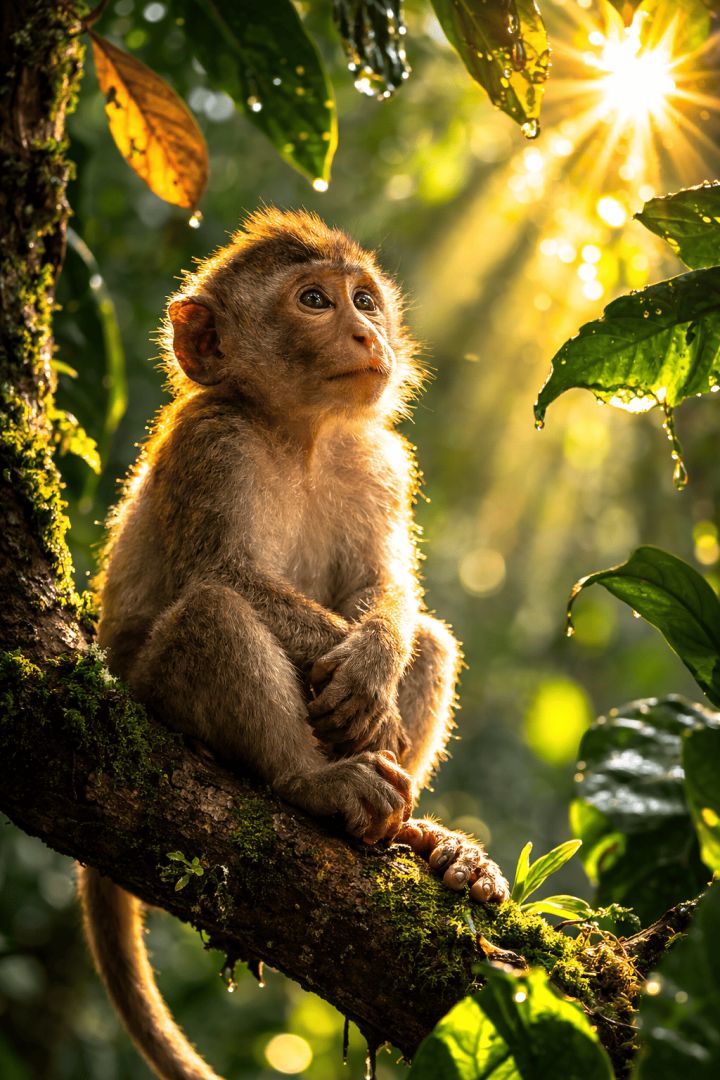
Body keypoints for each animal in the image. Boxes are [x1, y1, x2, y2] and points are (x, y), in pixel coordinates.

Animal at [77, 208, 509, 1080]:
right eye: (314, 300)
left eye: (364, 299)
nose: (366, 333)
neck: (300, 433)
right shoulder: (212, 441)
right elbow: (223, 574)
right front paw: (365, 697)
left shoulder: (380, 460)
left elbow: (388, 591)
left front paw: (376, 659)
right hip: (149, 693)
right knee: (210, 613)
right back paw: (316, 783)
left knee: (433, 642)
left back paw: (420, 837)